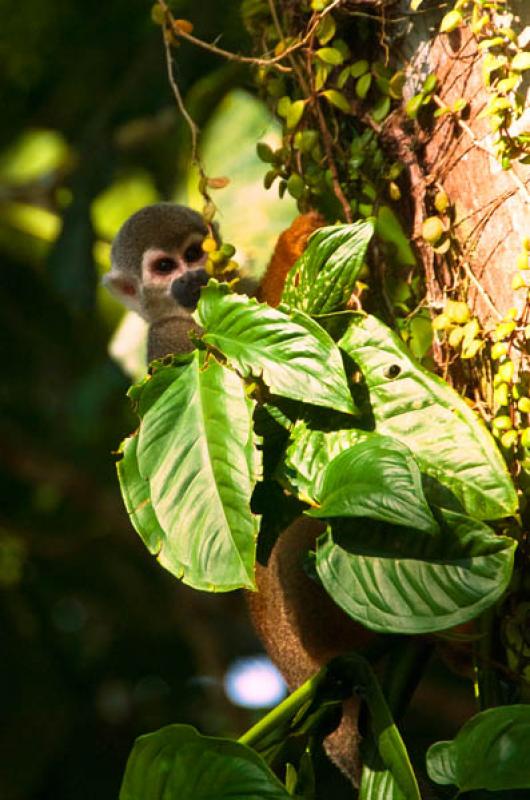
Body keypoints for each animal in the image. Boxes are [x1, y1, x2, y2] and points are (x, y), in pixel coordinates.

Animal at [105, 203, 366, 784]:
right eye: (163, 267)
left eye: (194, 252)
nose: (192, 277)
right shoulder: (166, 343)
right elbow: (257, 404)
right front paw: (292, 247)